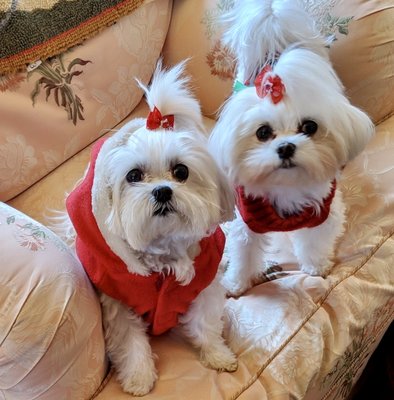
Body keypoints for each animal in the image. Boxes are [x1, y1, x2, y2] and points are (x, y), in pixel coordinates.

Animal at [208, 0, 374, 296]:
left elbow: (314, 242)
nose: (285, 147)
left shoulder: (323, 212)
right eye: (263, 132)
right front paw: (237, 284)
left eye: (309, 127)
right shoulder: (248, 220)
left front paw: (316, 267)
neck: (286, 186)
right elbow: (244, 252)